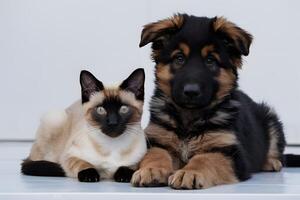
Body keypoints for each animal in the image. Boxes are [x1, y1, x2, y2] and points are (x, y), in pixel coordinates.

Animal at [130, 13, 298, 189]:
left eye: (210, 60)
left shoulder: (230, 153)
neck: (189, 119)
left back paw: (271, 162)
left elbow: (206, 158)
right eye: (179, 58)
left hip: (270, 119)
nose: (191, 92)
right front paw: (151, 169)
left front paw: (189, 172)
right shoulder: (157, 139)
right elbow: (156, 153)